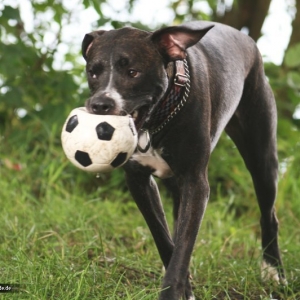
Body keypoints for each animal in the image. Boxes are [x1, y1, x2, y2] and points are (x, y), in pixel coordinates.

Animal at [81, 21, 286, 300]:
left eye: (133, 72)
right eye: (93, 72)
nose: (100, 104)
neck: (158, 118)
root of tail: (244, 37)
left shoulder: (195, 183)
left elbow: (183, 243)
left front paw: (173, 290)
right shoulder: (139, 181)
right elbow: (164, 237)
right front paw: (183, 286)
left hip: (261, 156)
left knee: (269, 214)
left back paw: (273, 270)